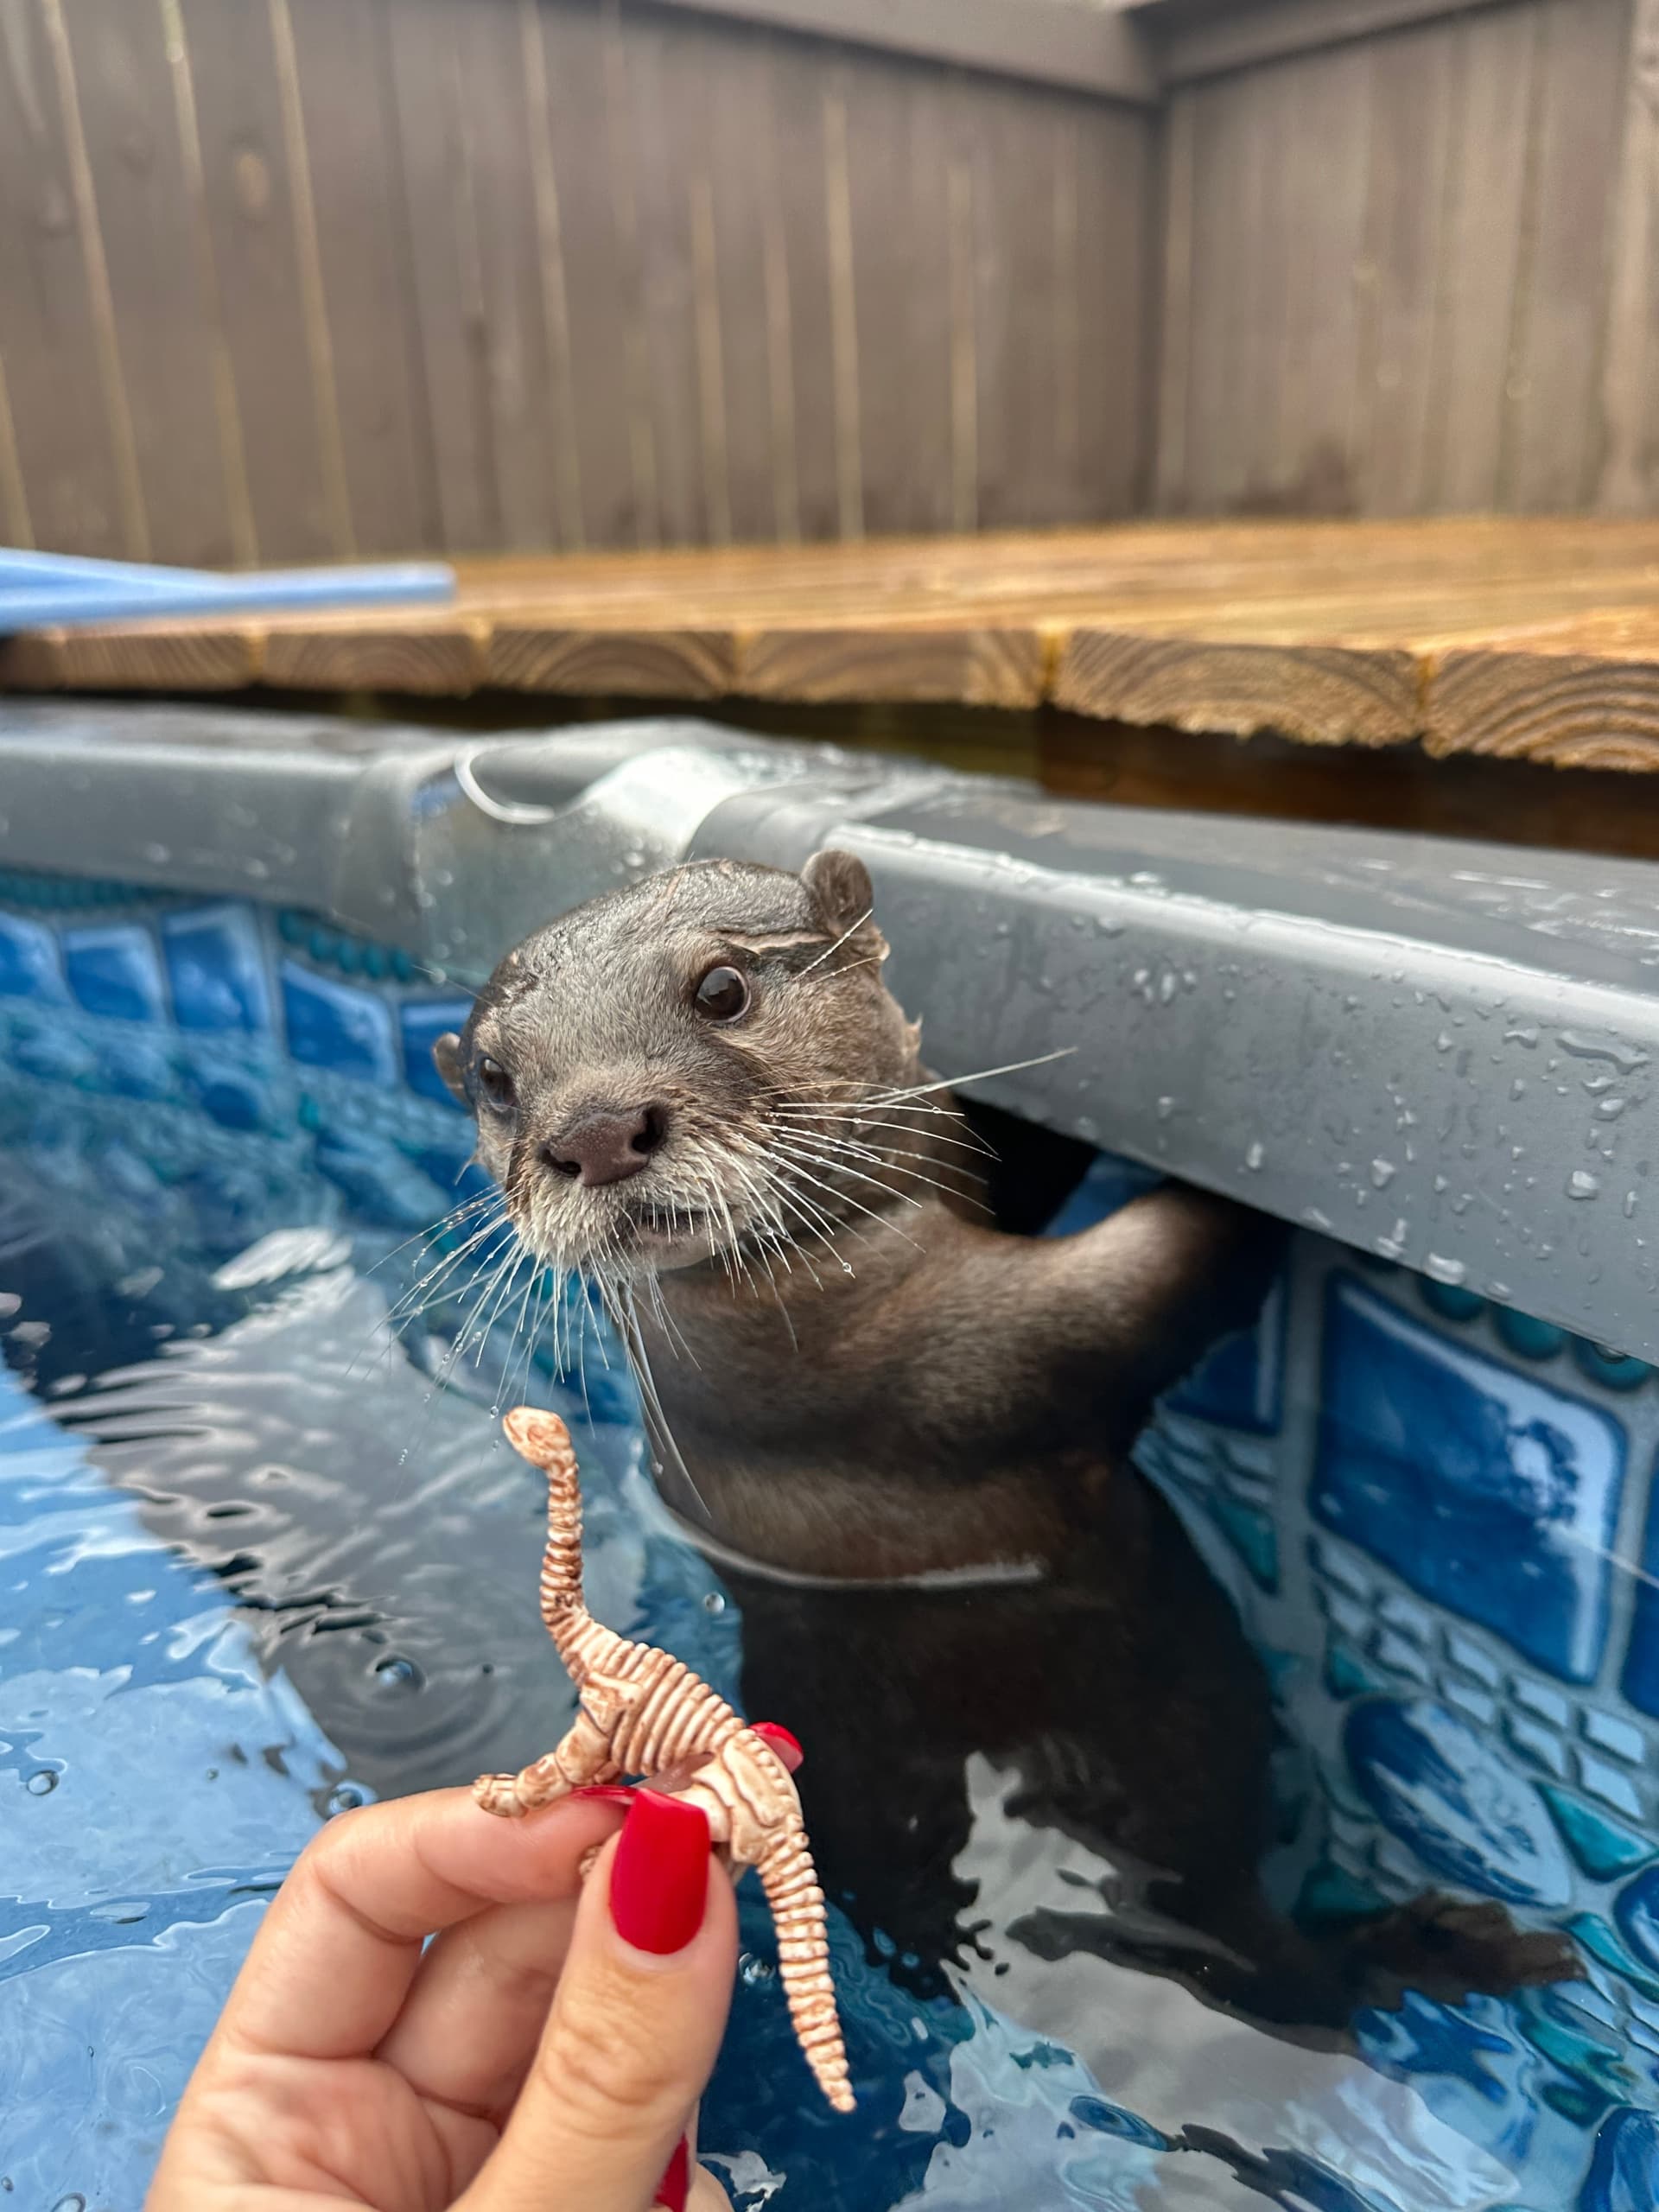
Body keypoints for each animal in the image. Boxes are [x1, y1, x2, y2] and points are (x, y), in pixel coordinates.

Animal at [434, 850, 1572, 2036]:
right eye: (496, 1080)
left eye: (721, 989)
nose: (594, 1128)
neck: (788, 1317)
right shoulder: (941, 1362)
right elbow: (1159, 1285)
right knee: (1278, 1966)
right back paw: (1431, 1949)